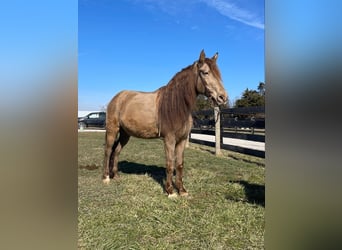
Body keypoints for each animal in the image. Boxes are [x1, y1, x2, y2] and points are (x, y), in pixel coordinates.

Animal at [103, 49, 228, 197]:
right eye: (205, 72)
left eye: (218, 74)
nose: (223, 97)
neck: (176, 106)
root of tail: (117, 97)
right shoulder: (169, 139)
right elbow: (169, 164)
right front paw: (170, 191)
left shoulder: (182, 140)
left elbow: (179, 164)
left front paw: (182, 190)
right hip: (112, 130)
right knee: (108, 150)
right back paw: (106, 177)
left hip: (125, 134)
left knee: (116, 150)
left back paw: (116, 176)